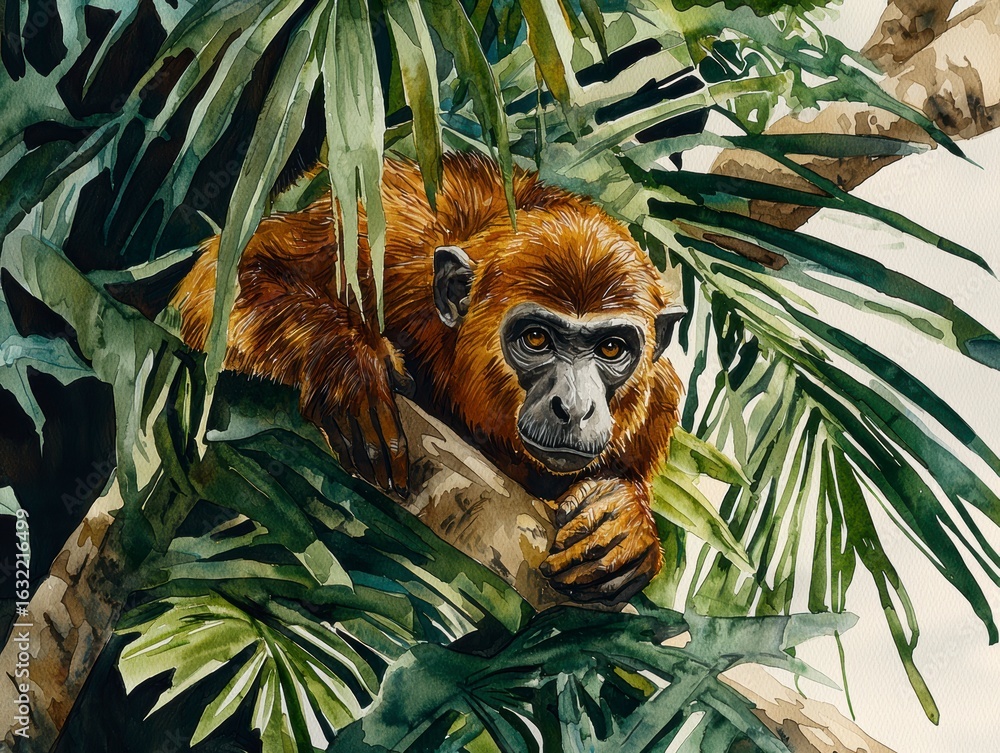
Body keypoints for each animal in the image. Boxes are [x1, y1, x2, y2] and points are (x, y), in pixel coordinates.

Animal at [170, 152, 685, 605]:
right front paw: (348, 364)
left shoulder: (656, 398)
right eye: (537, 339)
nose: (574, 407)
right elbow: (230, 278)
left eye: (611, 349)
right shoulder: (379, 239)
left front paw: (627, 518)